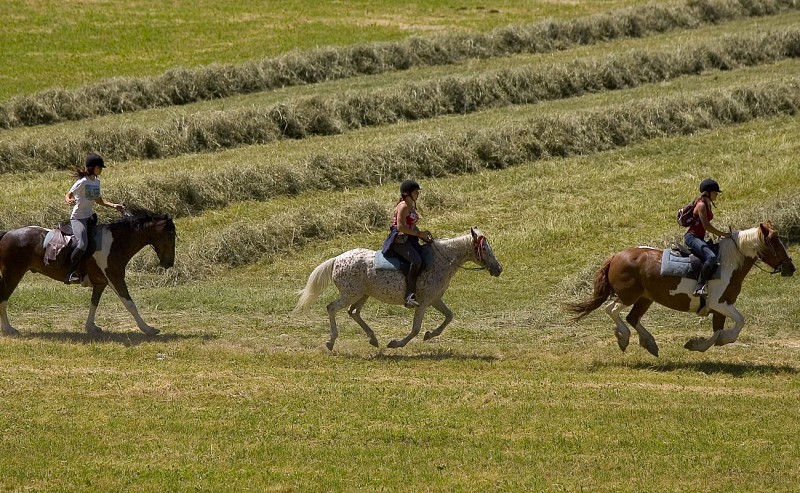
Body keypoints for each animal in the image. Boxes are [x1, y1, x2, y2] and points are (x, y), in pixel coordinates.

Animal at [0, 206, 176, 336]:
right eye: (170, 235)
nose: (169, 263)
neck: (116, 243)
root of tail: (7, 234)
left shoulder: (101, 282)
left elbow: (94, 303)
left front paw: (91, 327)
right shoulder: (115, 278)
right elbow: (129, 304)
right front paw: (148, 329)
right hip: (13, 274)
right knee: (3, 298)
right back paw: (8, 329)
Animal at [294, 228, 504, 350]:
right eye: (484, 249)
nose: (498, 269)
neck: (441, 261)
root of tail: (337, 259)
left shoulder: (435, 300)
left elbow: (449, 317)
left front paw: (430, 335)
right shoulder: (423, 302)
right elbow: (416, 329)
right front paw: (396, 343)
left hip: (363, 295)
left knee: (353, 312)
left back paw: (373, 339)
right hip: (350, 294)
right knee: (332, 308)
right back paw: (331, 342)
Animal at [564, 222, 796, 354]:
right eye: (775, 243)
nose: (791, 268)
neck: (727, 263)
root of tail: (615, 256)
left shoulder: (721, 306)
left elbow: (718, 331)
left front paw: (697, 344)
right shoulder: (719, 303)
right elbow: (739, 322)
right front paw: (718, 341)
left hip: (645, 298)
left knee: (632, 318)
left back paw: (649, 343)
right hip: (628, 296)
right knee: (611, 310)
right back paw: (624, 338)